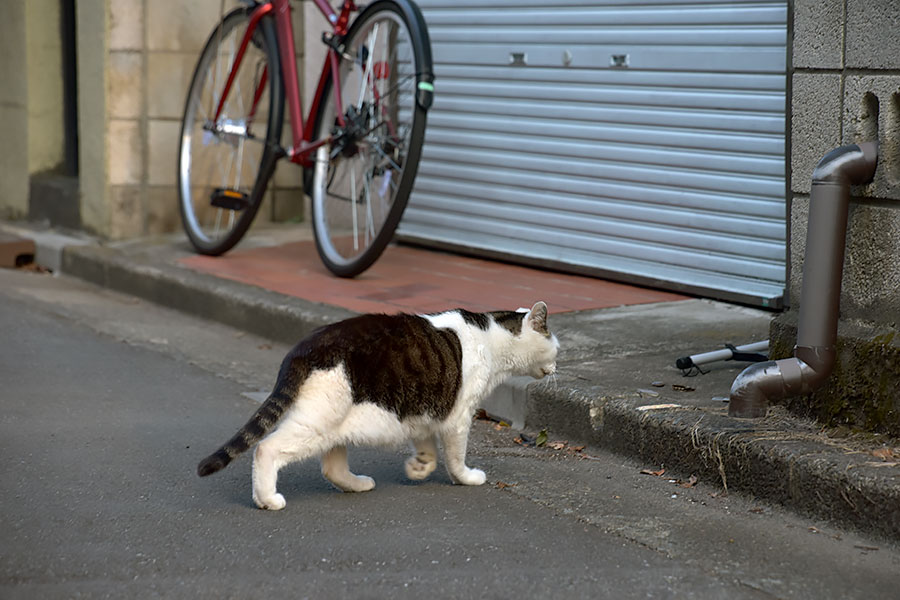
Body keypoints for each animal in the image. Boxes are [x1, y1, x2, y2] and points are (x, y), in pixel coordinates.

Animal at [200, 300, 560, 510]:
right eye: (555, 346)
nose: (558, 365)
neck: (491, 337)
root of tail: (303, 348)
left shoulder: (422, 410)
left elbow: (426, 445)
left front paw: (419, 468)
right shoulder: (458, 417)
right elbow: (455, 456)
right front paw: (466, 478)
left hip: (336, 424)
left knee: (331, 467)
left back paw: (358, 485)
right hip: (317, 422)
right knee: (266, 448)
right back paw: (267, 499)